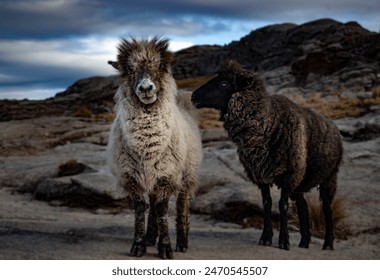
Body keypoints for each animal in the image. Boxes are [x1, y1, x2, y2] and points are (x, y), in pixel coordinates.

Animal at [107, 37, 202, 258]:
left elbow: (161, 209)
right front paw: (138, 244)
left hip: (187, 171)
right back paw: (151, 237)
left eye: (160, 66)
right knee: (151, 200)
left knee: (182, 202)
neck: (146, 144)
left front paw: (166, 247)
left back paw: (182, 241)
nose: (146, 88)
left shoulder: (168, 174)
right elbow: (141, 208)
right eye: (129, 69)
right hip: (152, 173)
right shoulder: (132, 175)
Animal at [191, 60, 342, 249]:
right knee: (303, 205)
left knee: (327, 209)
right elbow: (267, 203)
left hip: (329, 176)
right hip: (300, 179)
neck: (269, 123)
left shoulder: (289, 174)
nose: (193, 96)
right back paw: (304, 242)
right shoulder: (260, 172)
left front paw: (283, 240)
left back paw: (328, 243)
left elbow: (282, 205)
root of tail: (333, 125)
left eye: (224, 83)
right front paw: (266, 238)